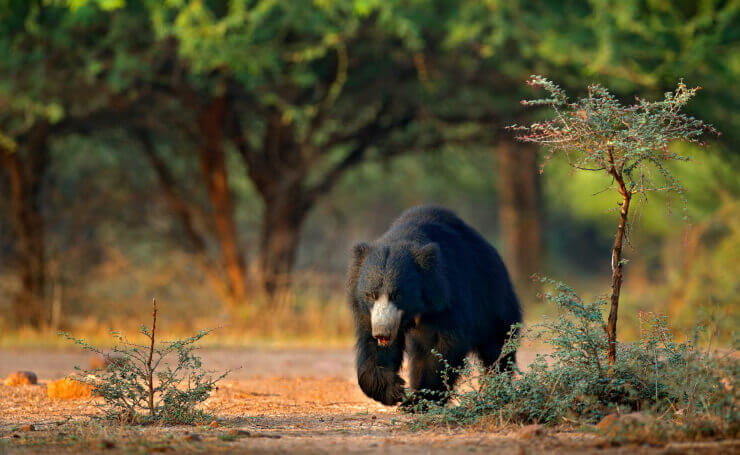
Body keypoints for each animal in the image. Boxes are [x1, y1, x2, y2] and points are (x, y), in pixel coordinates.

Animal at [346, 207, 520, 406]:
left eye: (397, 295)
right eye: (371, 295)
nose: (382, 332)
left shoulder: (447, 298)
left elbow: (442, 347)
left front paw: (419, 400)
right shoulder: (368, 313)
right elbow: (372, 348)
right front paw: (394, 390)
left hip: (493, 301)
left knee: (497, 346)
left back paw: (499, 389)